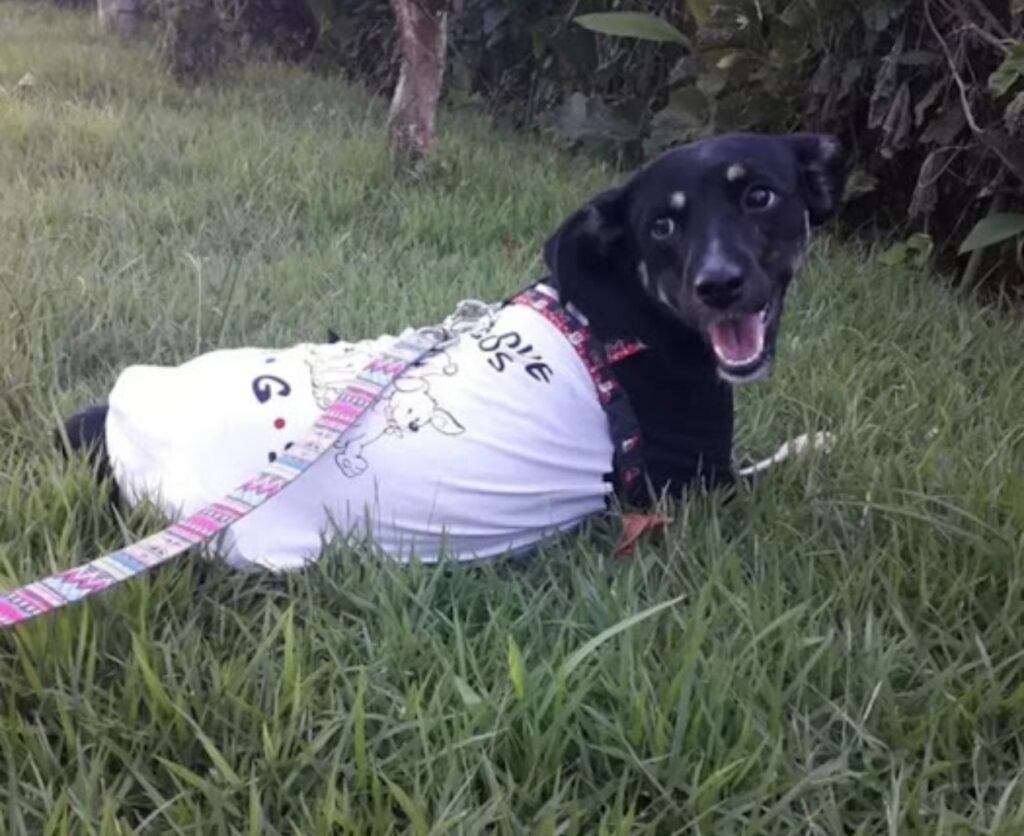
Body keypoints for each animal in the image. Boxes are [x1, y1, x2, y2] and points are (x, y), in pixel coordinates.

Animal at [61, 132, 847, 573]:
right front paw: (817, 443)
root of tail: (120, 431)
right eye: (661, 225)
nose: (719, 285)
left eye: (759, 196)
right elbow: (778, 461)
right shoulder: (701, 487)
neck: (621, 321)